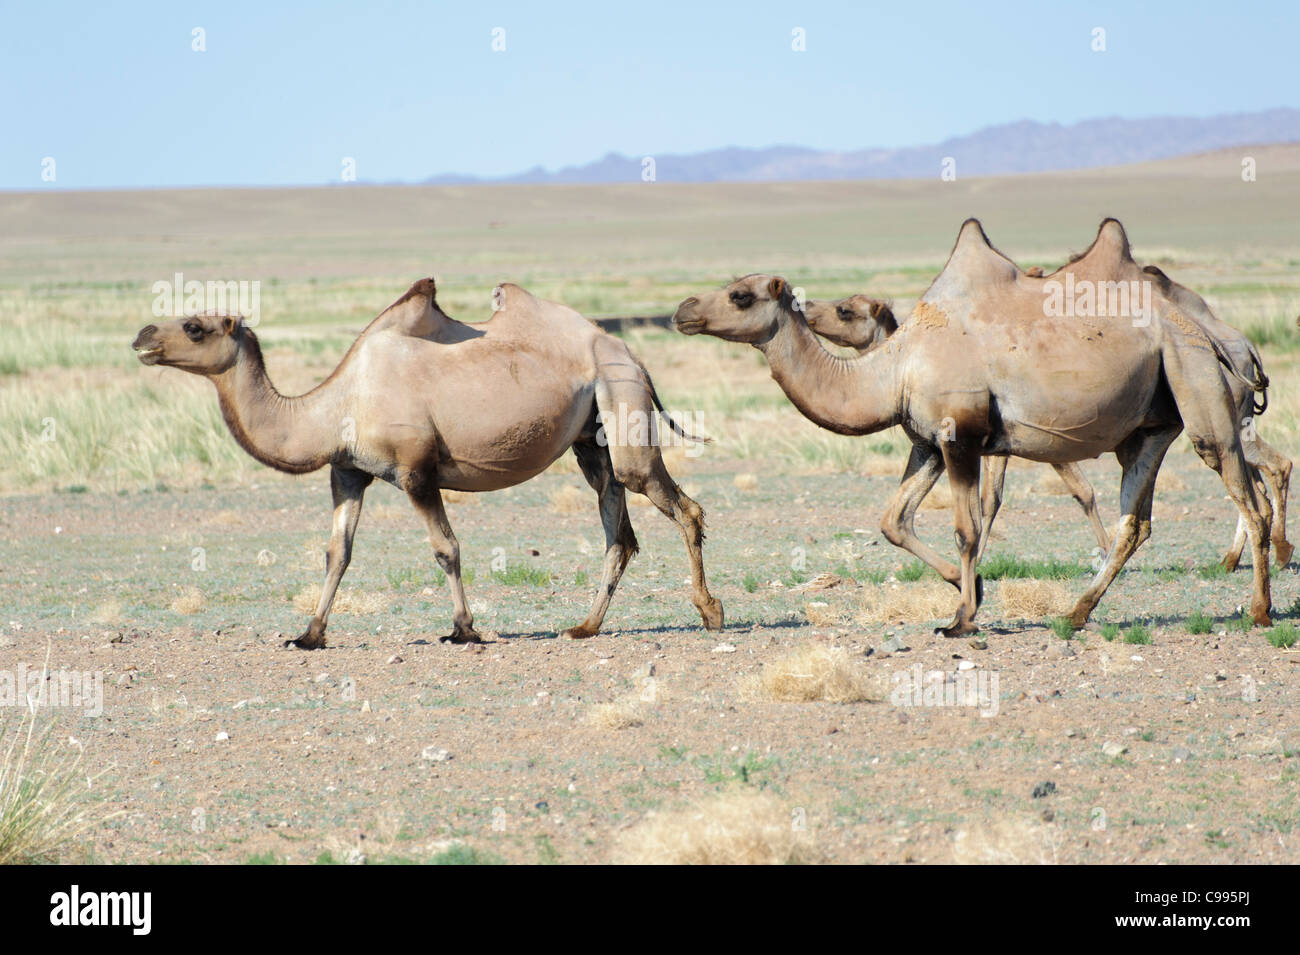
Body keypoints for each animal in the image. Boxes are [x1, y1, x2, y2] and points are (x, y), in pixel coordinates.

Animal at [133, 278, 723, 648]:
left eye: (194, 326)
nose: (142, 336)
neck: (335, 406)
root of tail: (632, 355)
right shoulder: (348, 472)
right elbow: (337, 553)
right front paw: (309, 635)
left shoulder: (415, 472)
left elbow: (446, 548)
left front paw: (464, 629)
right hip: (590, 437)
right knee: (618, 532)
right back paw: (584, 627)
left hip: (623, 406)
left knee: (675, 504)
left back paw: (710, 613)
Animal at [673, 218, 1273, 636]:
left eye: (740, 295)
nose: (682, 310)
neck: (895, 367)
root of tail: (1215, 335)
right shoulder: (927, 443)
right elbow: (893, 520)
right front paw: (975, 589)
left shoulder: (959, 436)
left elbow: (966, 529)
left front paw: (961, 617)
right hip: (1149, 427)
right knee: (1136, 521)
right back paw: (1075, 614)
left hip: (1198, 390)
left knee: (1246, 496)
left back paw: (1260, 610)